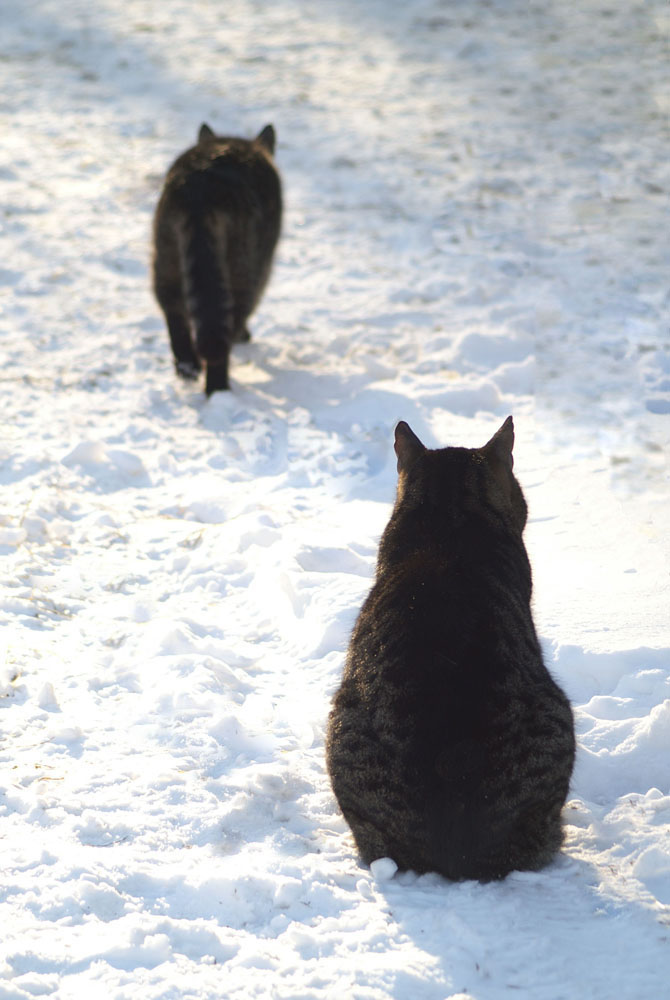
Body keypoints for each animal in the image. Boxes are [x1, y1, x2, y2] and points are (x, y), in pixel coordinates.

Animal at [154, 121, 282, 394]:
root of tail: (201, 184)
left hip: (165, 249)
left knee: (172, 306)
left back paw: (187, 365)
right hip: (244, 261)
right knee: (229, 320)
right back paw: (217, 386)